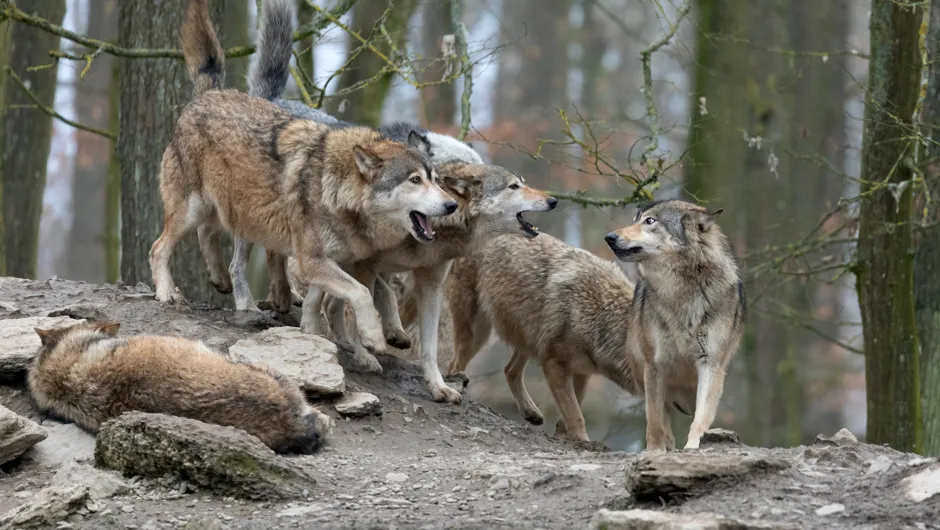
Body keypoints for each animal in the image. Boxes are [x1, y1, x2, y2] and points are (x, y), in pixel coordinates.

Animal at [150, 0, 457, 357]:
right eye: (415, 180)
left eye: (435, 179)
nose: (451, 205)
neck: (338, 191)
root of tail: (210, 94)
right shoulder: (312, 260)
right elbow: (362, 293)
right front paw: (371, 336)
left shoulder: (341, 261)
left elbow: (351, 295)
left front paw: (324, 330)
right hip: (196, 210)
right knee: (161, 248)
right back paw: (174, 294)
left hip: (225, 211)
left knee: (209, 236)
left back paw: (225, 282)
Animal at [420, 200, 743, 450]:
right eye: (680, 376)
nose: (698, 407)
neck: (601, 318)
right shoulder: (555, 364)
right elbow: (577, 415)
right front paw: (583, 441)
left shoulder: (581, 372)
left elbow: (572, 410)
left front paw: (563, 433)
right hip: (478, 334)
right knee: (458, 364)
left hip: (527, 337)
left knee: (510, 370)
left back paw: (531, 412)